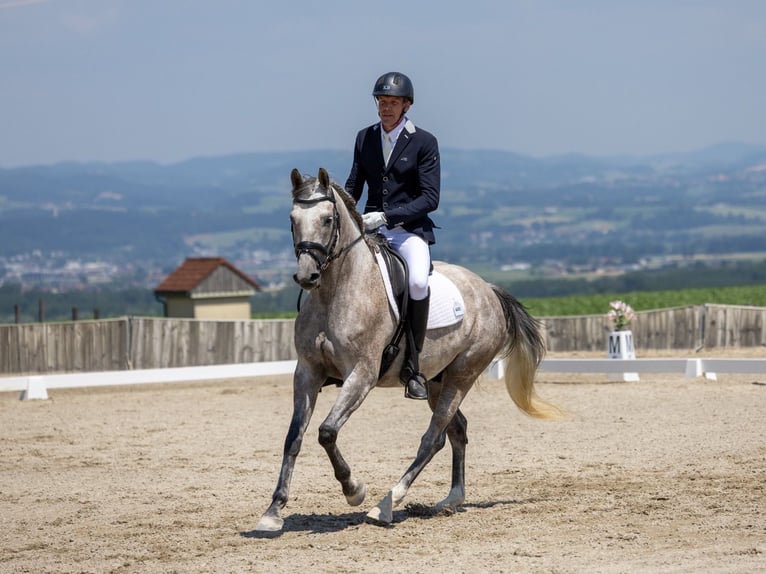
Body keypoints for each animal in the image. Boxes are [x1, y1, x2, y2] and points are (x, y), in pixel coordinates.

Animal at [255, 167, 559, 532]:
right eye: (292, 219)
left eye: (328, 219)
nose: (307, 275)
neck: (335, 292)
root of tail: (489, 289)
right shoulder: (307, 372)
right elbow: (294, 437)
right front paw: (273, 510)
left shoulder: (362, 374)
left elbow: (327, 431)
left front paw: (354, 490)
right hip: (436, 379)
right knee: (456, 430)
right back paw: (450, 499)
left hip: (463, 373)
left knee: (433, 437)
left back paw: (386, 505)